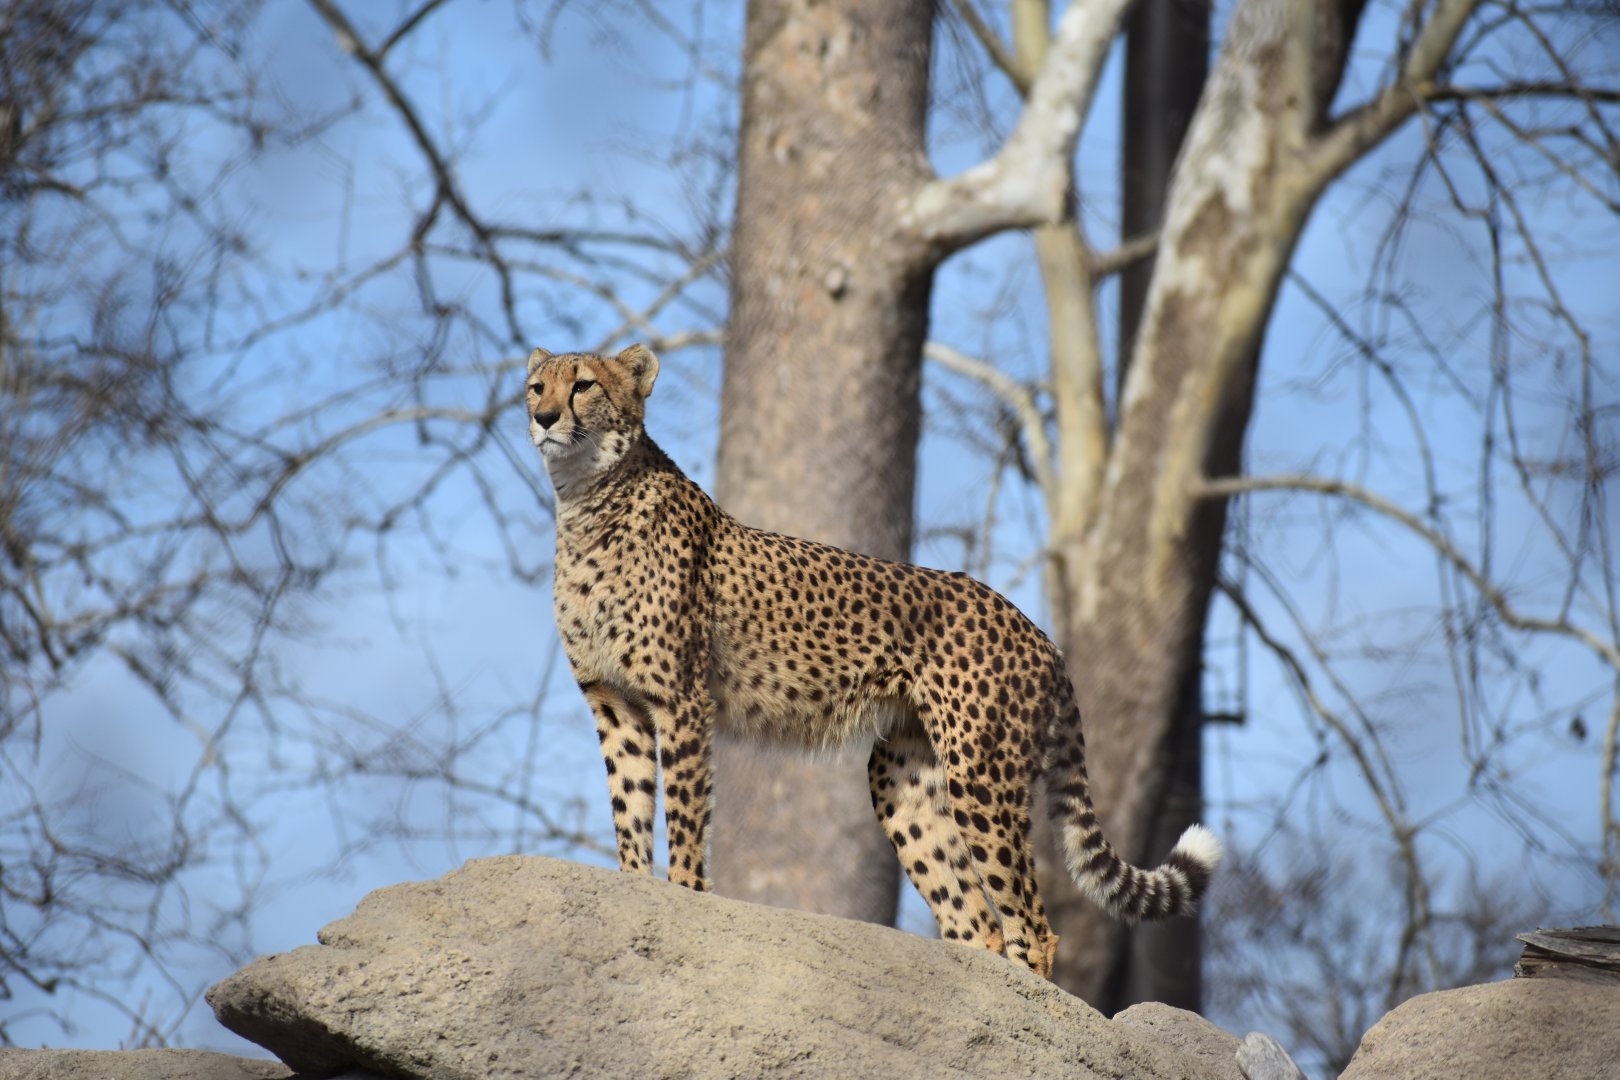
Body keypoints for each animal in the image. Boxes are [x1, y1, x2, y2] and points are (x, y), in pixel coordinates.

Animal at [526, 342, 1221, 978]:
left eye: (584, 385)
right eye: (536, 386)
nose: (543, 417)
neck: (588, 500)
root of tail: (1037, 630)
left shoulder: (682, 702)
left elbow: (687, 815)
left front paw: (687, 897)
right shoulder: (614, 702)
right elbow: (631, 804)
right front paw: (630, 891)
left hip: (981, 774)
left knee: (1033, 924)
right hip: (905, 781)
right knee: (979, 921)